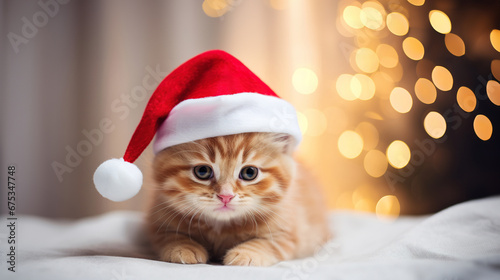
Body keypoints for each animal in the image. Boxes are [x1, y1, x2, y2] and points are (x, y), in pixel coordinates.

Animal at [146, 132, 330, 266]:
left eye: (249, 173)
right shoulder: (159, 221)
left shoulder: (290, 233)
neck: (221, 227)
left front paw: (246, 254)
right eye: (202, 171)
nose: (225, 196)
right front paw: (184, 247)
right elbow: (170, 236)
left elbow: (267, 243)